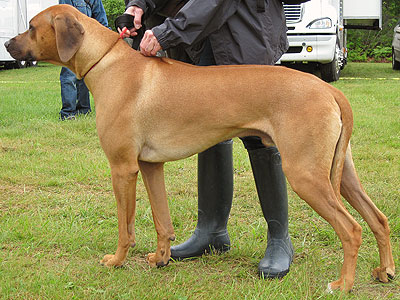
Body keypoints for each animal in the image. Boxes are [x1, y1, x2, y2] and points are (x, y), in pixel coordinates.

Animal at [4, 4, 396, 290]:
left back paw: (343, 284)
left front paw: (117, 260)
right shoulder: (149, 165)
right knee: (378, 218)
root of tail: (329, 89)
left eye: (32, 26)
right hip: (339, 172)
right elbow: (161, 219)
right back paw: (385, 271)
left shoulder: (122, 168)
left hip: (305, 173)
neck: (107, 62)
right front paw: (161, 257)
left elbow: (125, 226)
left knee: (352, 229)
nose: (7, 45)